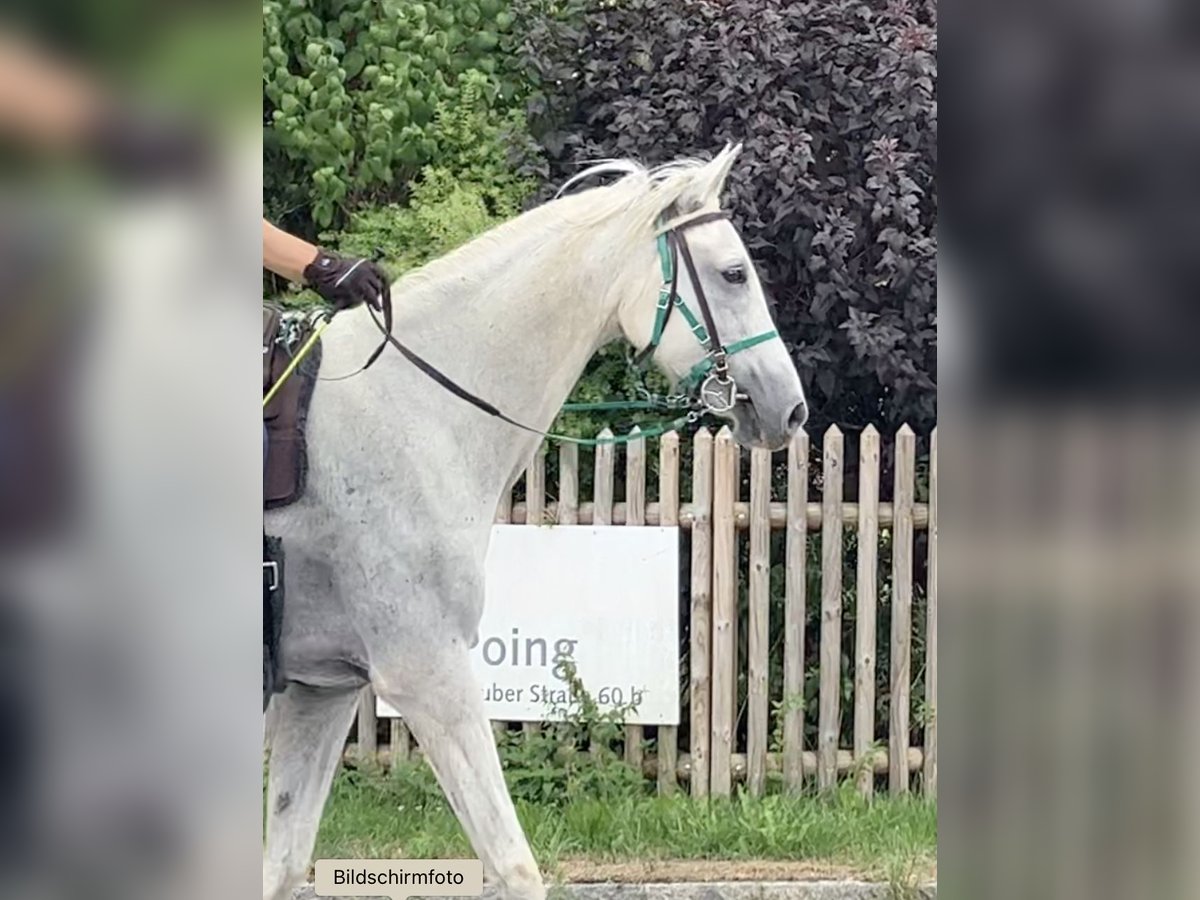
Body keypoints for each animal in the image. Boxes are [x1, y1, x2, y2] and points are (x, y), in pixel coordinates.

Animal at [262, 146, 806, 900]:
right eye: (734, 273)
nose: (791, 408)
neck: (416, 405)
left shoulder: (323, 690)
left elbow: (282, 867)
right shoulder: (430, 676)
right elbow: (515, 867)